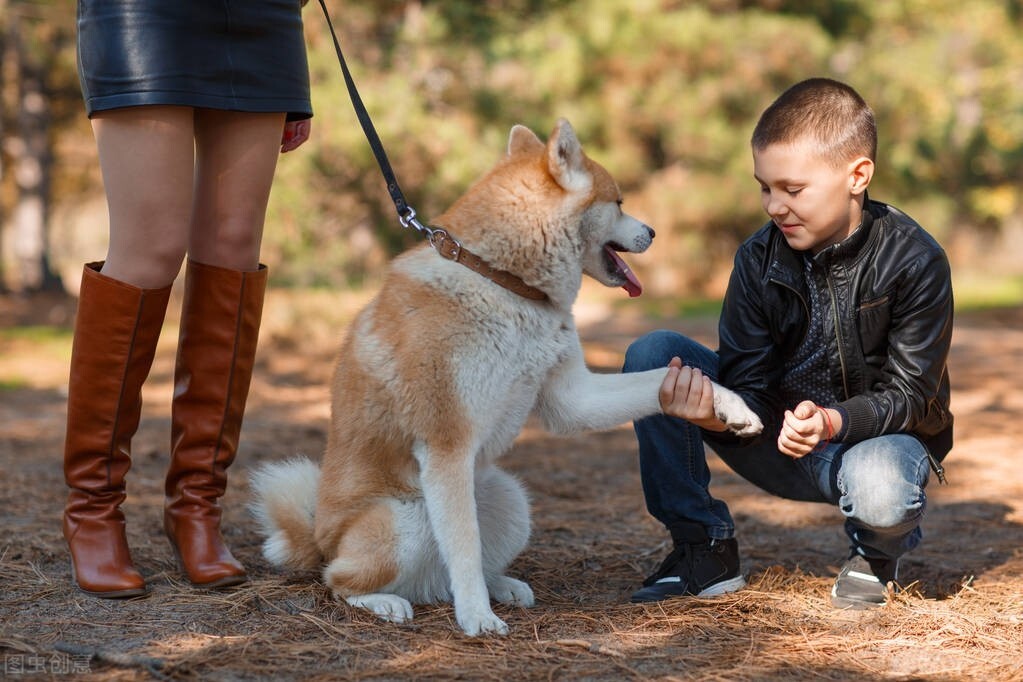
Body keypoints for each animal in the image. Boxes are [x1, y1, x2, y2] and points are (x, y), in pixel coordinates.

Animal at [247, 120, 761, 638]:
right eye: (618, 202)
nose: (652, 231)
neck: (502, 281)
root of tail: (319, 540)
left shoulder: (572, 399)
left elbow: (660, 381)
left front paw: (728, 405)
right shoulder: (447, 445)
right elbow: (464, 549)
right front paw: (476, 617)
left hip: (509, 501)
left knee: (449, 571)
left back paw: (501, 586)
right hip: (401, 521)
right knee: (341, 580)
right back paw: (386, 602)